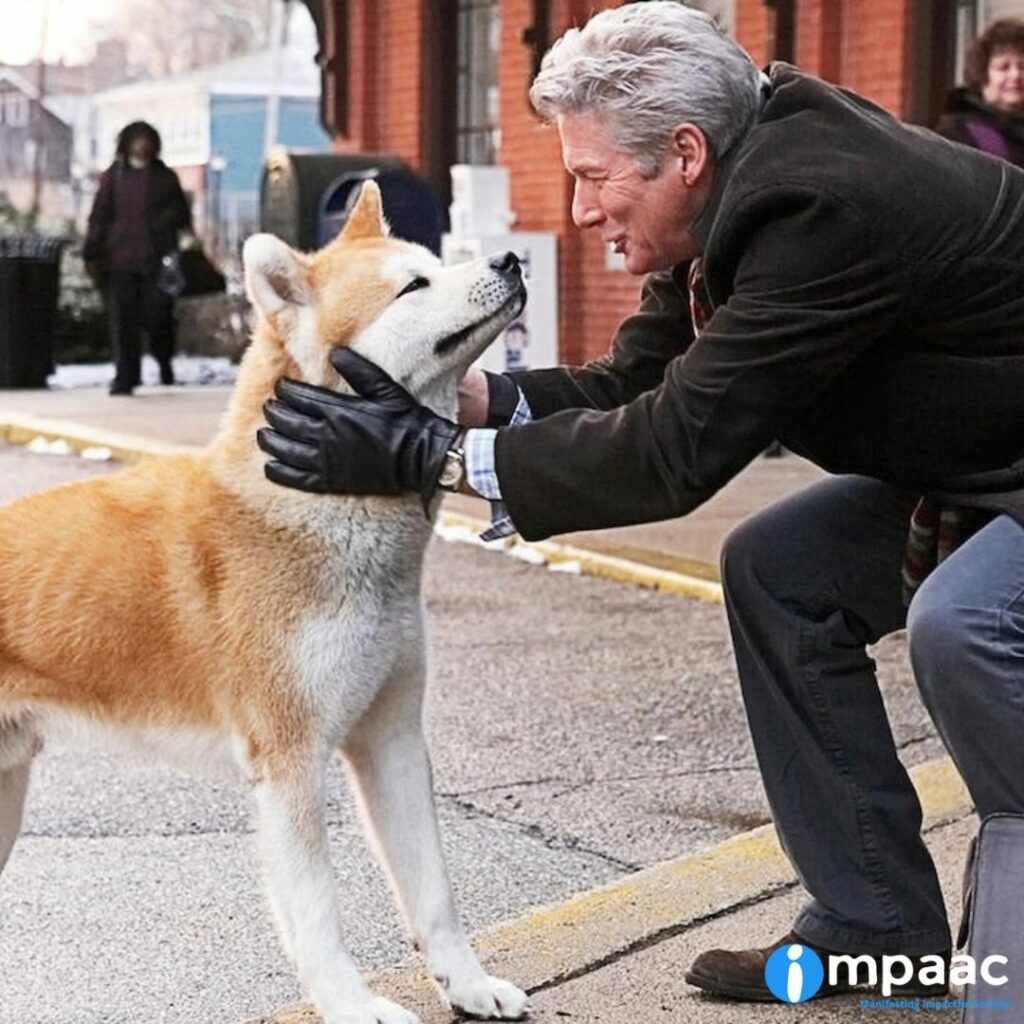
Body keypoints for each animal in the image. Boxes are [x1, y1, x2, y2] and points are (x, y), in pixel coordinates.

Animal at [0, 182, 528, 1024]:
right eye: (414, 285)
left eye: (435, 261)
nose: (510, 259)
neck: (313, 509)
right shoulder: (290, 763)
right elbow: (317, 912)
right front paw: (353, 1005)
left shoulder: (391, 740)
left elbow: (435, 895)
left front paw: (469, 984)